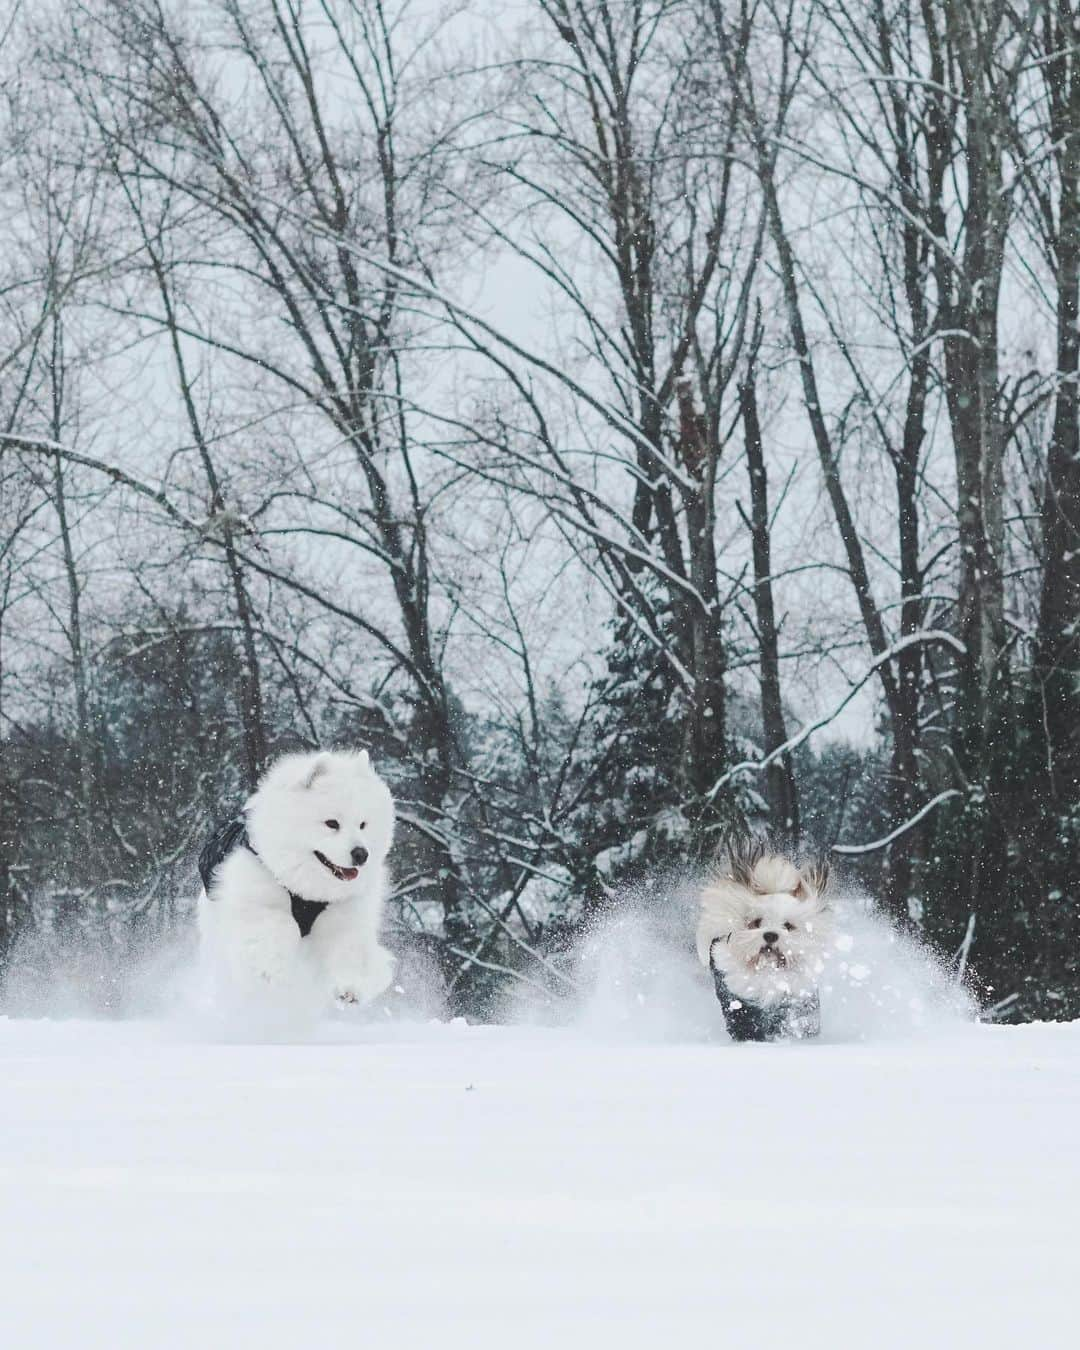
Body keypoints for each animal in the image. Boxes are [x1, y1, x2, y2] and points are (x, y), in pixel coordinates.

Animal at [198, 750, 396, 1015]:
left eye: (363, 824)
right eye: (332, 823)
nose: (361, 854)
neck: (309, 890)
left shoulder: (344, 915)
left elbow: (348, 948)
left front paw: (351, 988)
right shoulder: (259, 900)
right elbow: (277, 926)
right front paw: (271, 969)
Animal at [696, 831, 831, 1042]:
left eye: (788, 926)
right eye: (756, 922)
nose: (770, 935)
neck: (768, 973)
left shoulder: (799, 997)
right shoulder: (738, 999)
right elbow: (745, 1020)